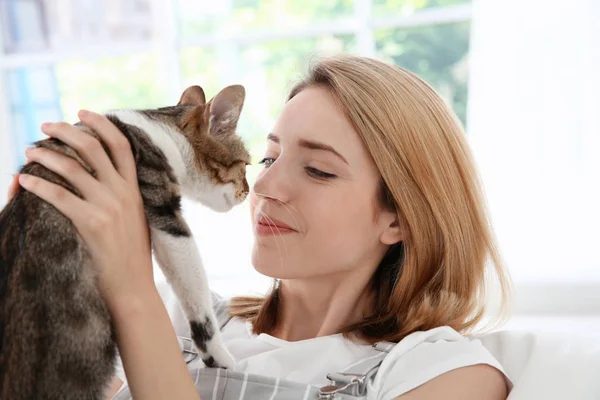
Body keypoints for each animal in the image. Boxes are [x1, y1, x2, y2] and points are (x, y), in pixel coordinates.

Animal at [0, 83, 251, 396]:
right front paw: (218, 353)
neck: (160, 131)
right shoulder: (165, 214)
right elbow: (197, 293)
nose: (249, 191)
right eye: (246, 165)